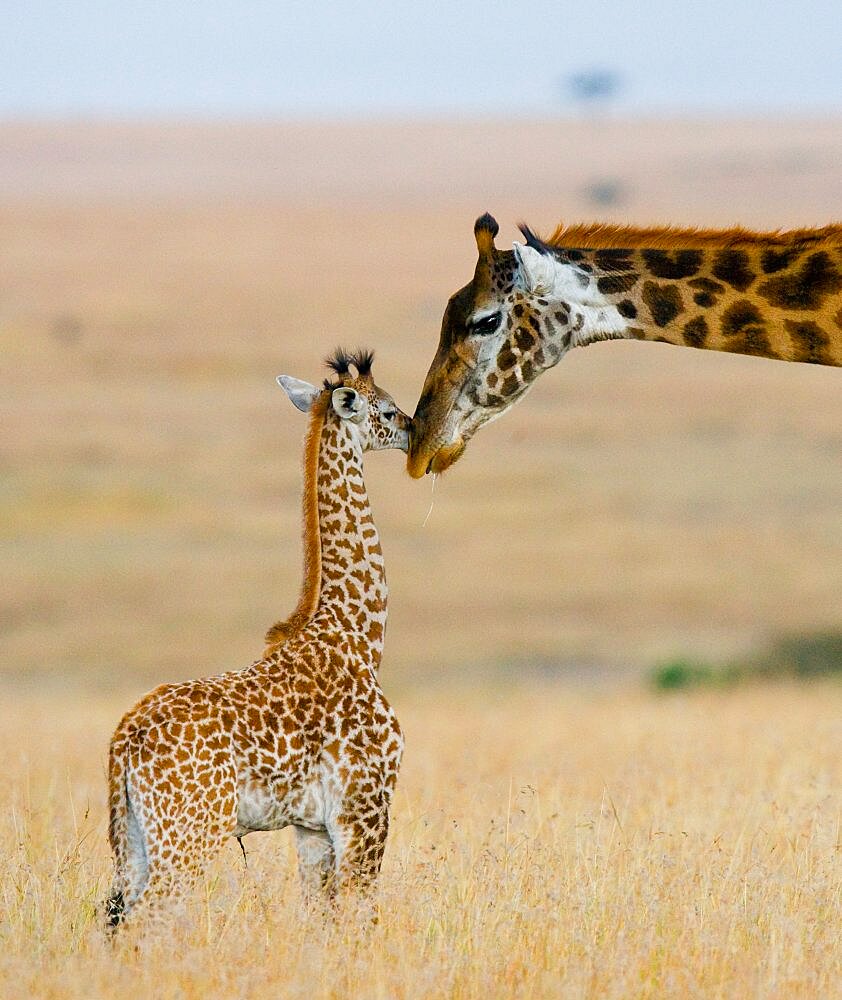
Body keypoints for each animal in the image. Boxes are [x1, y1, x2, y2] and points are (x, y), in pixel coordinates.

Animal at [108, 352, 410, 928]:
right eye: (385, 407)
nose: (412, 429)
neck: (359, 635)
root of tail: (123, 742)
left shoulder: (312, 828)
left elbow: (321, 920)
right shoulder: (365, 808)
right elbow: (361, 916)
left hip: (133, 838)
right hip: (189, 834)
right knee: (146, 919)